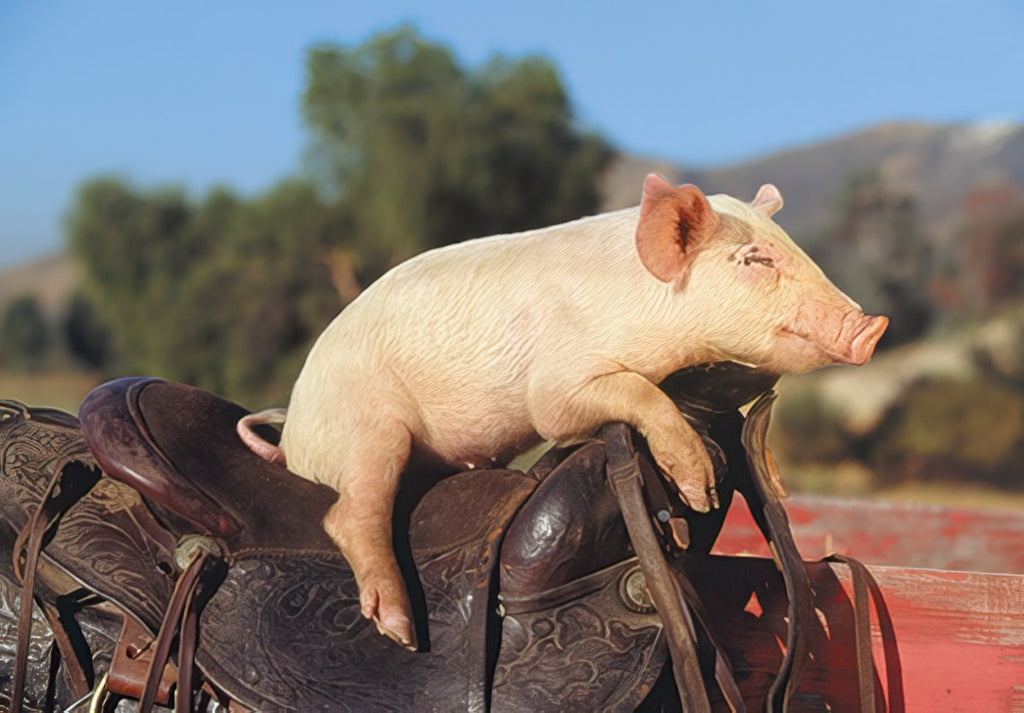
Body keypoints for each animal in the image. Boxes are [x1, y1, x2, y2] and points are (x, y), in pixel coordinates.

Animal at [238, 174, 888, 649]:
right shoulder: (556, 384)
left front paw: (762, 482)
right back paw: (400, 633)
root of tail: (292, 440)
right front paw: (699, 490)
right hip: (369, 428)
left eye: (797, 250)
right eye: (754, 260)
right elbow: (627, 395)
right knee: (349, 515)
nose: (873, 326)